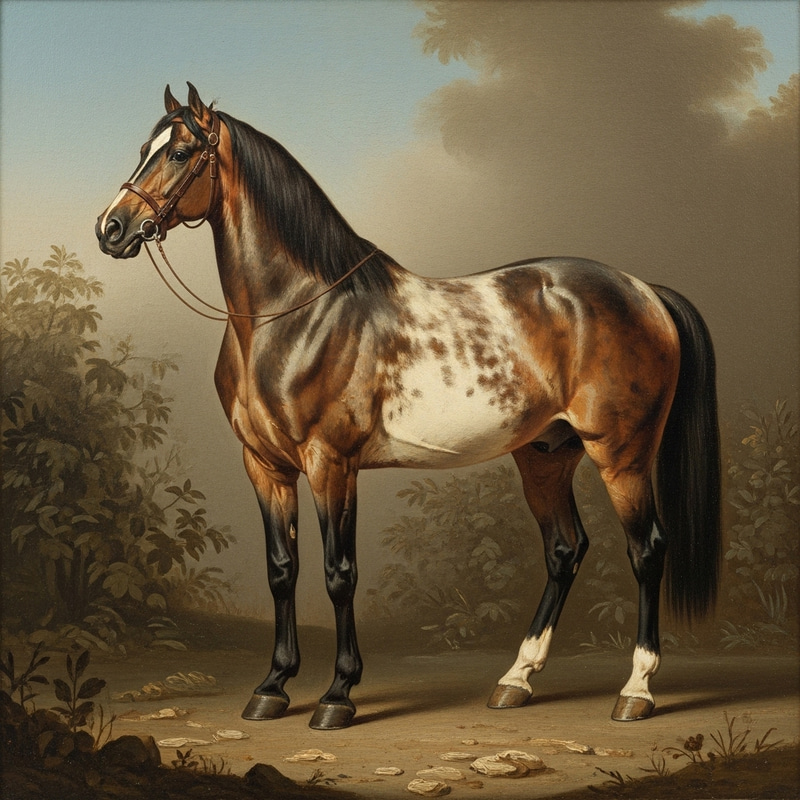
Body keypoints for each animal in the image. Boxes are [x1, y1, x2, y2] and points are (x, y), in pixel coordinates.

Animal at [96, 83, 720, 731]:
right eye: (145, 149)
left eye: (180, 152)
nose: (111, 228)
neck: (294, 313)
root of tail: (645, 291)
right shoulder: (265, 467)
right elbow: (282, 570)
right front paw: (272, 687)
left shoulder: (331, 464)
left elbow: (338, 574)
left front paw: (338, 695)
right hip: (546, 455)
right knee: (564, 550)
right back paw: (516, 680)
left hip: (621, 454)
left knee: (646, 549)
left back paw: (637, 690)